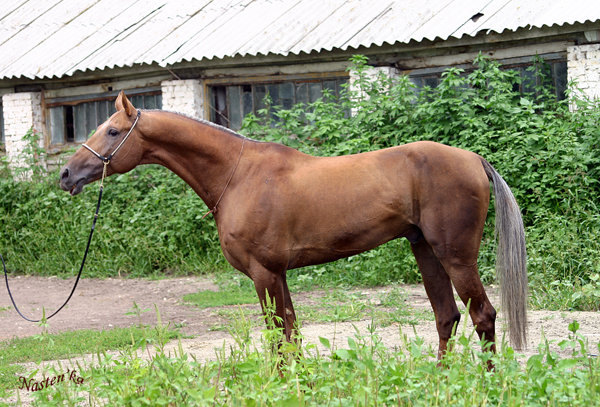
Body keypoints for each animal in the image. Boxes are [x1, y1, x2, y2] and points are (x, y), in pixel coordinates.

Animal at [58, 91, 528, 356]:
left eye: (113, 131)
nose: (66, 175)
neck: (238, 175)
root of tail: (473, 159)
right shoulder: (278, 273)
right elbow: (292, 334)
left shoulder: (263, 273)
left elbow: (277, 337)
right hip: (424, 249)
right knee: (447, 317)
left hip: (455, 255)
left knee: (483, 316)